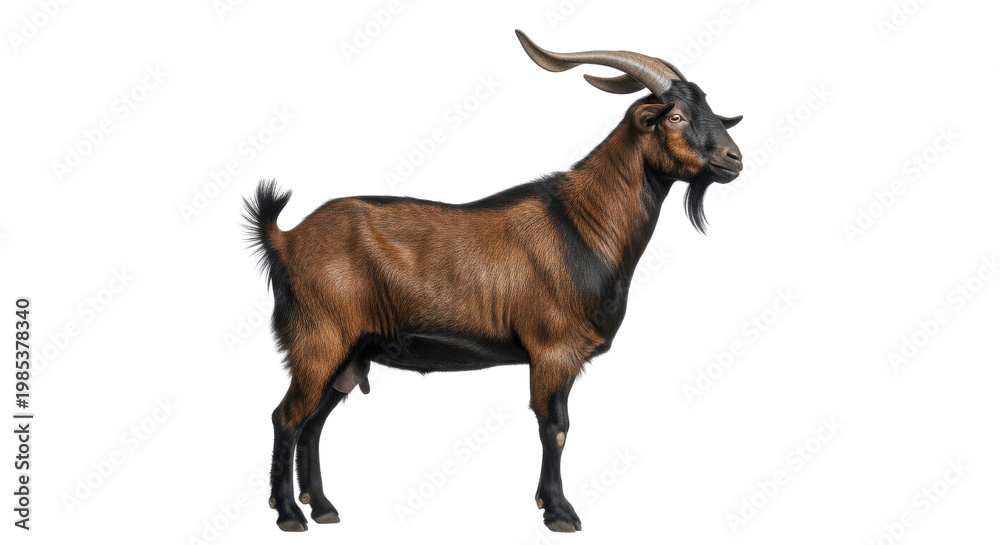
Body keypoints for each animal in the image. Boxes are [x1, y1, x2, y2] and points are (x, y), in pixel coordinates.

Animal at [243, 30, 743, 533]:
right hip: (319, 339)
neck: (583, 223)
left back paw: (323, 508)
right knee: (287, 417)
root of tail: (284, 239)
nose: (734, 158)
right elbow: (555, 428)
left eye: (708, 108)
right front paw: (559, 512)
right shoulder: (552, 351)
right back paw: (289, 514)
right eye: (675, 116)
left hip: (350, 355)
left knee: (313, 422)